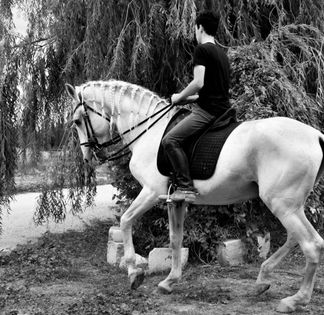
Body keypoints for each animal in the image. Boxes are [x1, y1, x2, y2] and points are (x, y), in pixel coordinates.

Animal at [66, 81, 324, 314]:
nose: (88, 158)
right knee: (295, 237)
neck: (150, 131)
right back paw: (263, 279)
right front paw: (169, 281)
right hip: (291, 205)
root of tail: (315, 136)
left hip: (282, 204)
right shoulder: (176, 200)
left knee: (312, 245)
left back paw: (294, 300)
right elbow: (175, 239)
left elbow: (126, 220)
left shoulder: (151, 192)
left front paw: (133, 274)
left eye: (77, 121)